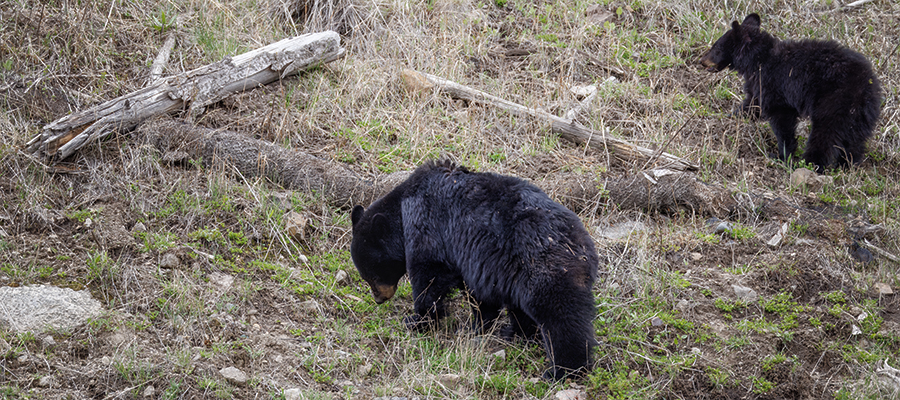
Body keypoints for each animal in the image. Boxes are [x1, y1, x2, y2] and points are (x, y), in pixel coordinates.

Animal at [350, 159, 599, 381]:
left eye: (371, 274)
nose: (379, 299)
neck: (402, 206)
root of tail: (583, 245)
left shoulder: (428, 224)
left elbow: (430, 275)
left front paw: (417, 321)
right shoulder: (475, 261)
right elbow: (477, 294)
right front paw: (477, 325)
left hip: (543, 269)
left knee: (559, 317)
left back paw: (563, 370)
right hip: (519, 271)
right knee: (521, 307)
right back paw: (514, 332)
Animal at [700, 13, 882, 172]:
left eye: (716, 47)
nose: (701, 61)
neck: (758, 59)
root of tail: (866, 86)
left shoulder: (775, 84)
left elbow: (781, 120)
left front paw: (782, 155)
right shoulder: (758, 85)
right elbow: (752, 104)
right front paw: (729, 116)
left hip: (834, 101)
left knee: (825, 135)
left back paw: (811, 164)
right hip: (860, 115)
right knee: (855, 141)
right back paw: (847, 165)